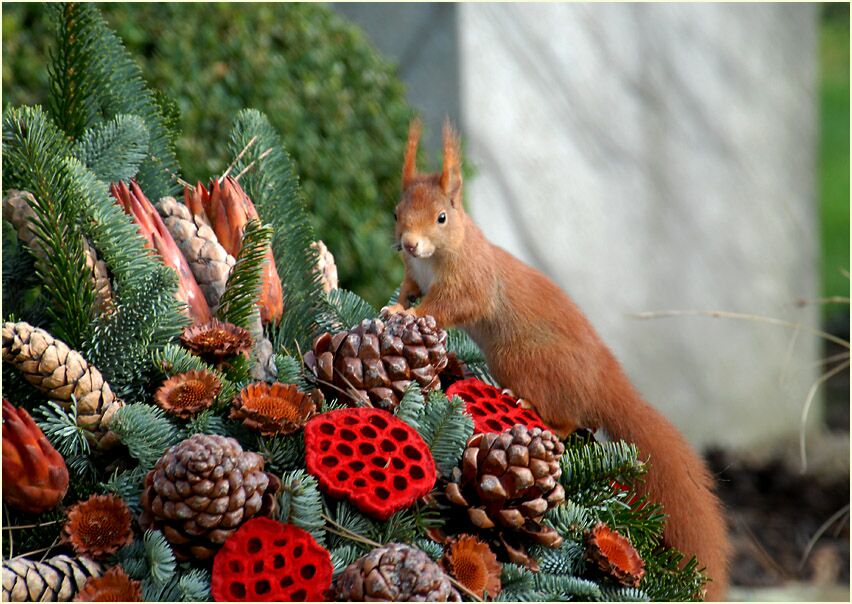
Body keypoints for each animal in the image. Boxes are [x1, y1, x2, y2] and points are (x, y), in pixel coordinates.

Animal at [390, 119, 728, 600]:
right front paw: (397, 305)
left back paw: (537, 410)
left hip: (520, 361)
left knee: (569, 420)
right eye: (396, 213)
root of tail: (604, 383)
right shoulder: (413, 274)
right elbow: (408, 288)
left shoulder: (471, 280)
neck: (437, 258)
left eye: (442, 216)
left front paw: (410, 315)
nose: (409, 244)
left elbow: (449, 306)